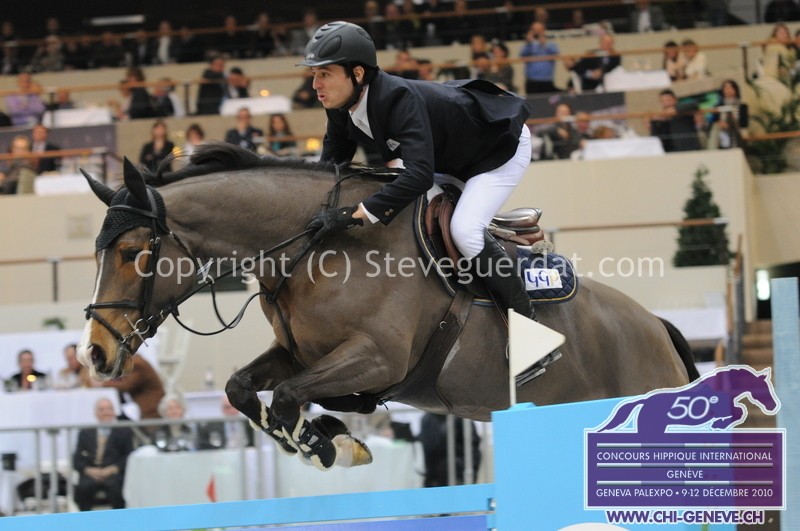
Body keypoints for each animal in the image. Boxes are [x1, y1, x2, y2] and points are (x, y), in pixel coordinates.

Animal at [78, 143, 698, 470]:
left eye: (131, 253)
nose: (95, 354)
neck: (318, 245)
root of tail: (658, 327)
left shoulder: (378, 357)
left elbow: (287, 396)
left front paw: (329, 442)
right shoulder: (298, 352)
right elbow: (242, 388)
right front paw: (327, 438)